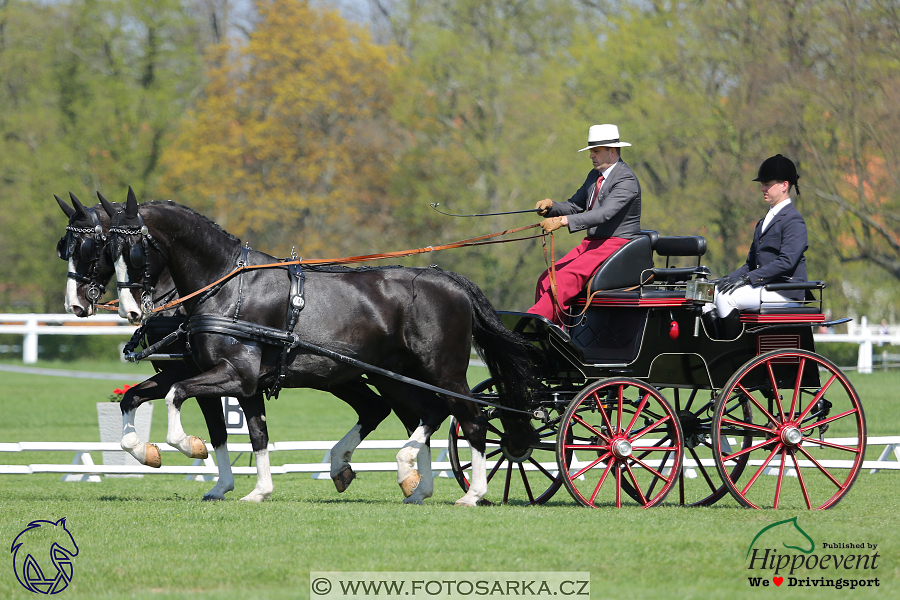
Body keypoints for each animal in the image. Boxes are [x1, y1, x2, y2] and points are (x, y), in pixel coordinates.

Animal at [105, 195, 536, 504]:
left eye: (135, 252)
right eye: (109, 253)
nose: (129, 311)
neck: (227, 287)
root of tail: (450, 280)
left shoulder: (235, 375)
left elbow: (178, 397)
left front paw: (187, 446)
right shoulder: (239, 381)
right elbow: (252, 431)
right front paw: (254, 490)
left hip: (442, 372)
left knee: (470, 418)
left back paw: (471, 493)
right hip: (395, 377)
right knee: (423, 413)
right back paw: (405, 482)